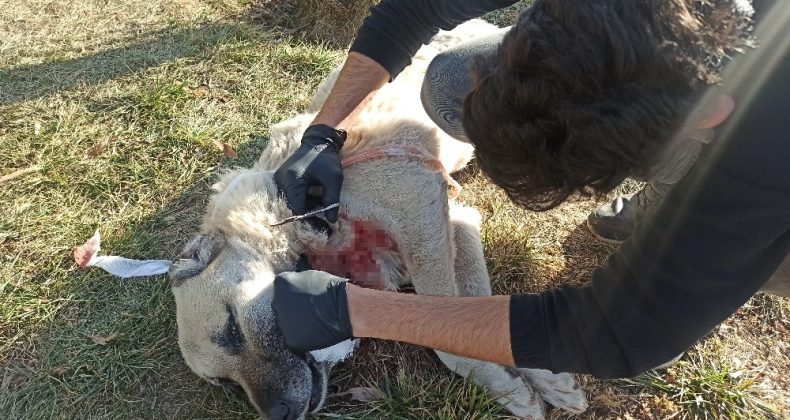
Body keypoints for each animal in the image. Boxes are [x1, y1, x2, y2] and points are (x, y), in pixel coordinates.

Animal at [172, 19, 588, 420]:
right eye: (224, 383)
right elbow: (477, 315)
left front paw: (523, 383)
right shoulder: (456, 223)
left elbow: (449, 335)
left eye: (231, 328)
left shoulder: (420, 209)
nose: (280, 414)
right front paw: (522, 383)